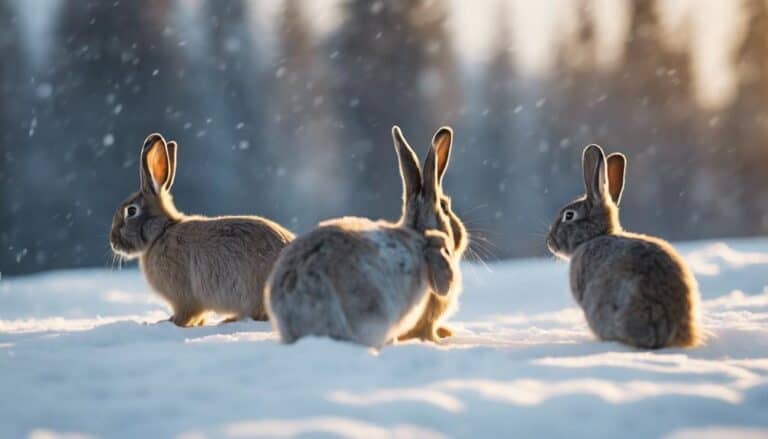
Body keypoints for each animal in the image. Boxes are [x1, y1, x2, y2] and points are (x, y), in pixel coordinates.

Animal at [109, 133, 294, 327]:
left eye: (131, 211)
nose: (113, 242)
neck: (161, 232)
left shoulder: (183, 299)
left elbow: (186, 314)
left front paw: (167, 322)